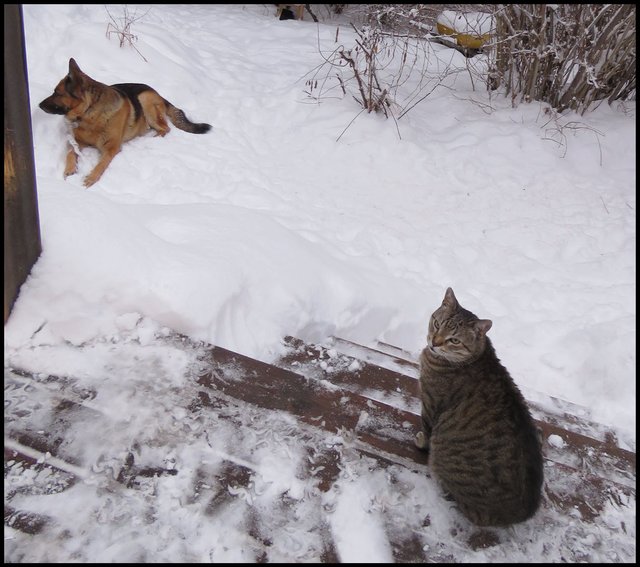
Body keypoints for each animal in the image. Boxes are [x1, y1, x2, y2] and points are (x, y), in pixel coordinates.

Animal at [40, 59, 212, 189]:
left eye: (57, 93)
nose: (38, 105)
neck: (91, 114)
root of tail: (158, 93)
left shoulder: (111, 148)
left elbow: (101, 164)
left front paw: (91, 178)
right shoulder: (78, 142)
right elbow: (70, 153)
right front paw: (70, 170)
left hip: (145, 100)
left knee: (165, 128)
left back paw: (153, 138)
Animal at [416, 288, 544, 528]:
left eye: (454, 340)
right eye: (437, 324)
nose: (434, 343)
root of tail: (520, 513)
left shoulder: (430, 404)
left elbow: (426, 429)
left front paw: (420, 440)